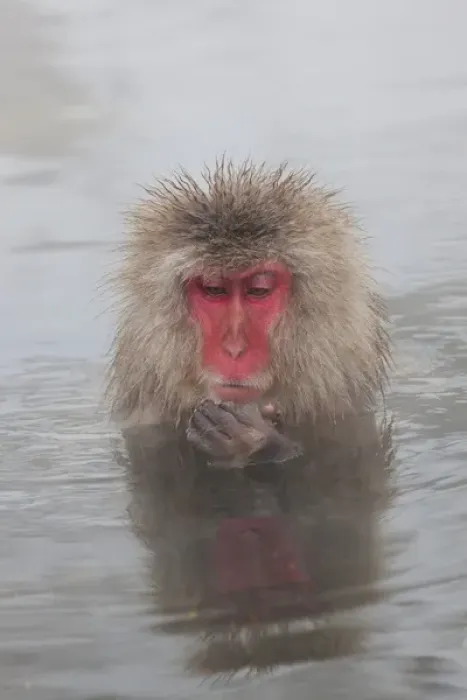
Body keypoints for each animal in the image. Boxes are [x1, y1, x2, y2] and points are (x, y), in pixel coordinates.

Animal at [105, 159, 394, 673]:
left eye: (258, 290)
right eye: (214, 290)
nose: (234, 348)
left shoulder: (346, 415)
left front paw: (255, 445)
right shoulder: (146, 428)